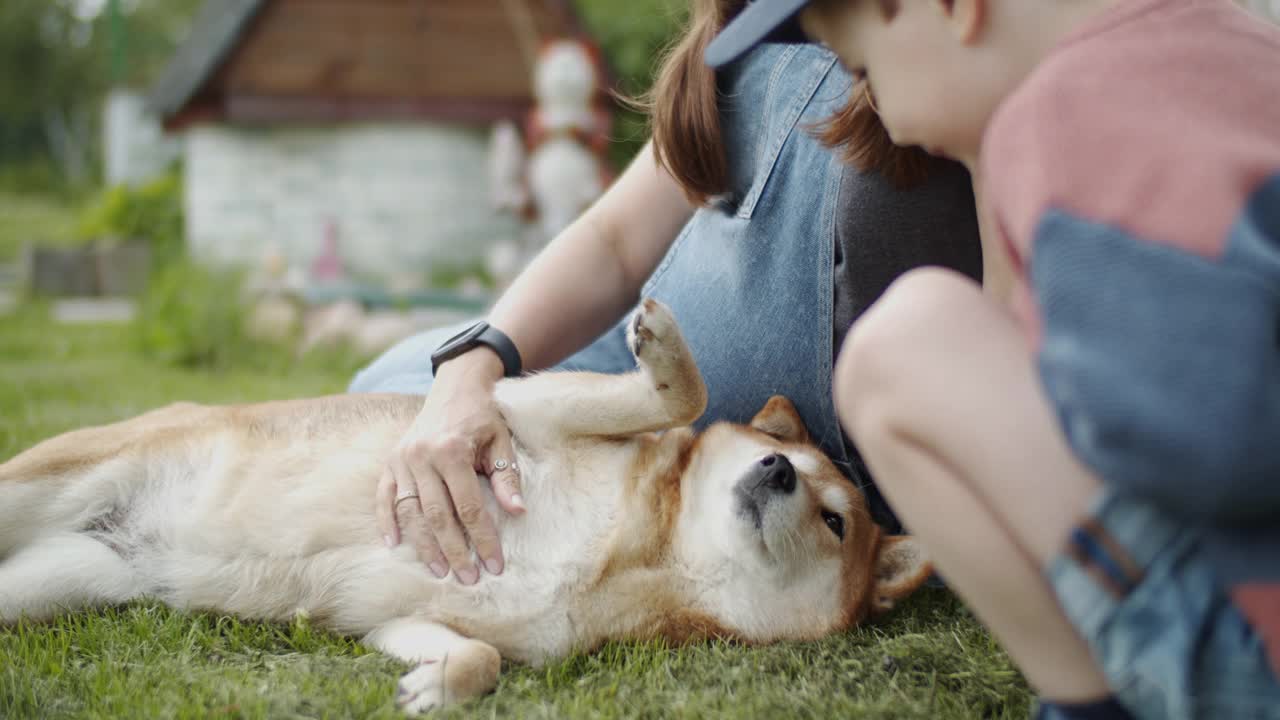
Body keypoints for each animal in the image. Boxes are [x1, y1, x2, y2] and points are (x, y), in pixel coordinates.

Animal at [2, 298, 931, 712]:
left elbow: (477, 656)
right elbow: (678, 398)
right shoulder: (520, 414)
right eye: (787, 461)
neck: (646, 548)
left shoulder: (406, 619)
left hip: (62, 581)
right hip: (47, 483)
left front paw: (437, 687)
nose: (776, 470)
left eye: (835, 519)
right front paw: (666, 357)